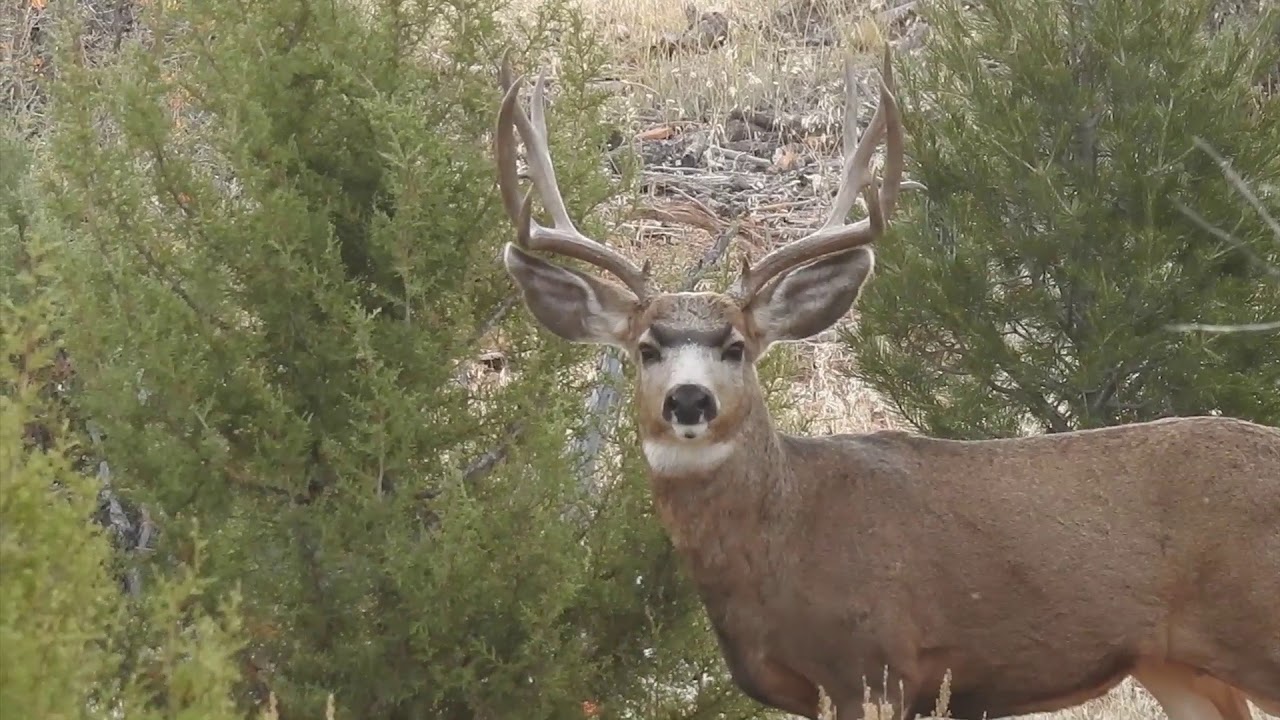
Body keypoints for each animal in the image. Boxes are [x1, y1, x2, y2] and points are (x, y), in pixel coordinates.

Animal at [492, 45, 1280, 720]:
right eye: (647, 348)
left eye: (737, 346)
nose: (690, 399)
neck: (786, 535)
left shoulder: (875, 663)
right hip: (1176, 664)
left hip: (1256, 628)